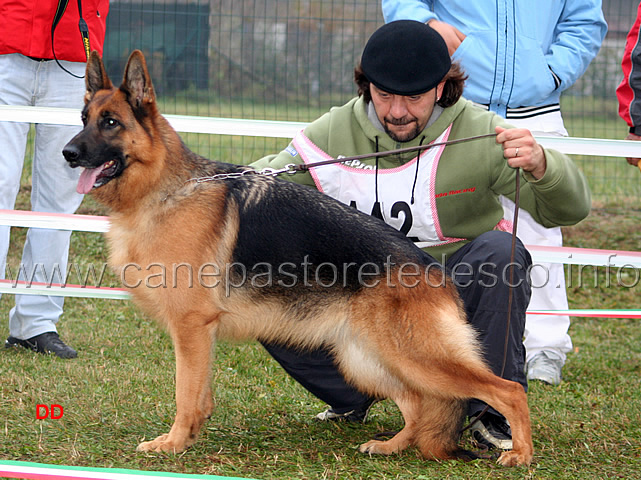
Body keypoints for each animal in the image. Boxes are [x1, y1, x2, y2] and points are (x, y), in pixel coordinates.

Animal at [62, 51, 532, 464]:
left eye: (111, 123)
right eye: (84, 120)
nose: (67, 154)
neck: (164, 189)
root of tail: (436, 274)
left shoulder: (192, 329)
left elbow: (185, 393)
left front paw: (174, 443)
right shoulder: (198, 335)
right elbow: (199, 395)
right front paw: (189, 437)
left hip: (414, 356)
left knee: (508, 390)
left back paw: (520, 454)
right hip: (368, 358)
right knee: (417, 404)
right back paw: (391, 447)